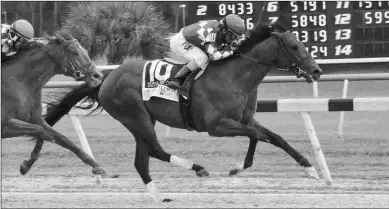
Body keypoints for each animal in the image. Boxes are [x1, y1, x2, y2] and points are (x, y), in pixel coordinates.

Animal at [1, 31, 110, 177]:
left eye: (86, 51)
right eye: (74, 52)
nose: (97, 76)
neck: (18, 82)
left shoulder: (34, 119)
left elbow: (62, 138)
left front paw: (96, 166)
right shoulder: (5, 126)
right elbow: (42, 132)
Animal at [43, 22, 322, 202]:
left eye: (302, 43)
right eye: (294, 47)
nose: (317, 71)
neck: (234, 77)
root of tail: (106, 79)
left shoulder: (245, 119)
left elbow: (273, 137)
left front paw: (310, 168)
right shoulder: (216, 127)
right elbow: (257, 136)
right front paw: (237, 168)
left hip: (142, 120)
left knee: (142, 160)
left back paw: (159, 197)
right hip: (136, 116)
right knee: (155, 150)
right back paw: (197, 168)